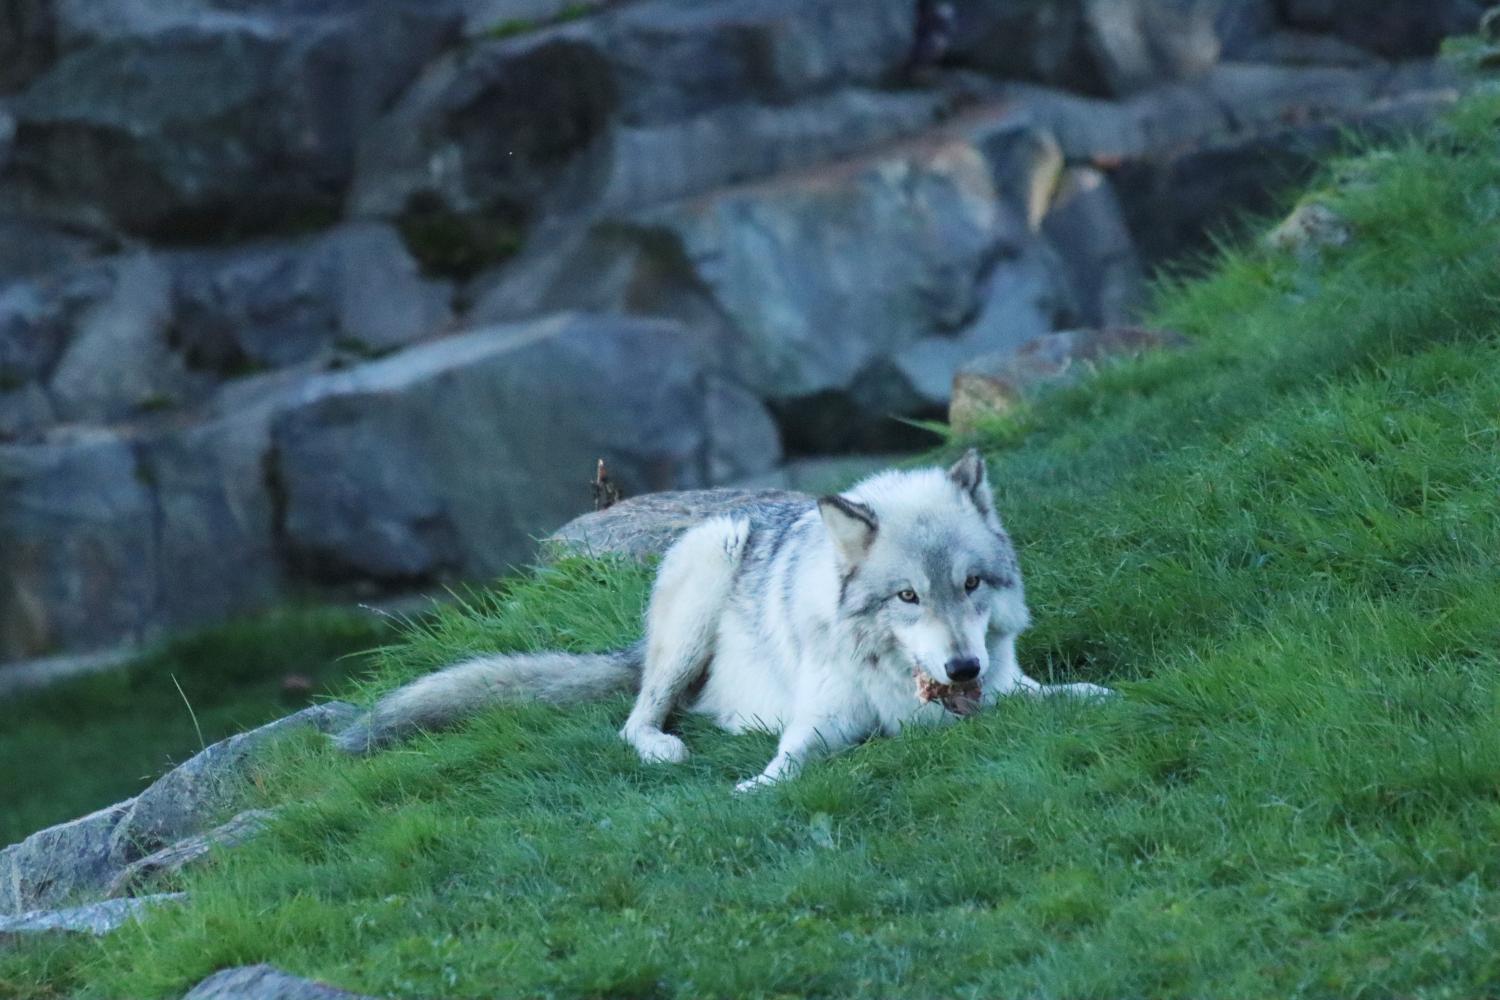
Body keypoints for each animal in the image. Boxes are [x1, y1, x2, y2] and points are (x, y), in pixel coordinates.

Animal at [340, 449, 1116, 791]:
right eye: (907, 598)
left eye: (971, 584)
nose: (962, 666)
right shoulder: (821, 720)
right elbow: (789, 763)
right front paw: (754, 789)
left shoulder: (1006, 687)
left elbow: (1066, 698)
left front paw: (1105, 695)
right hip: (701, 586)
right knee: (636, 719)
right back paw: (667, 747)